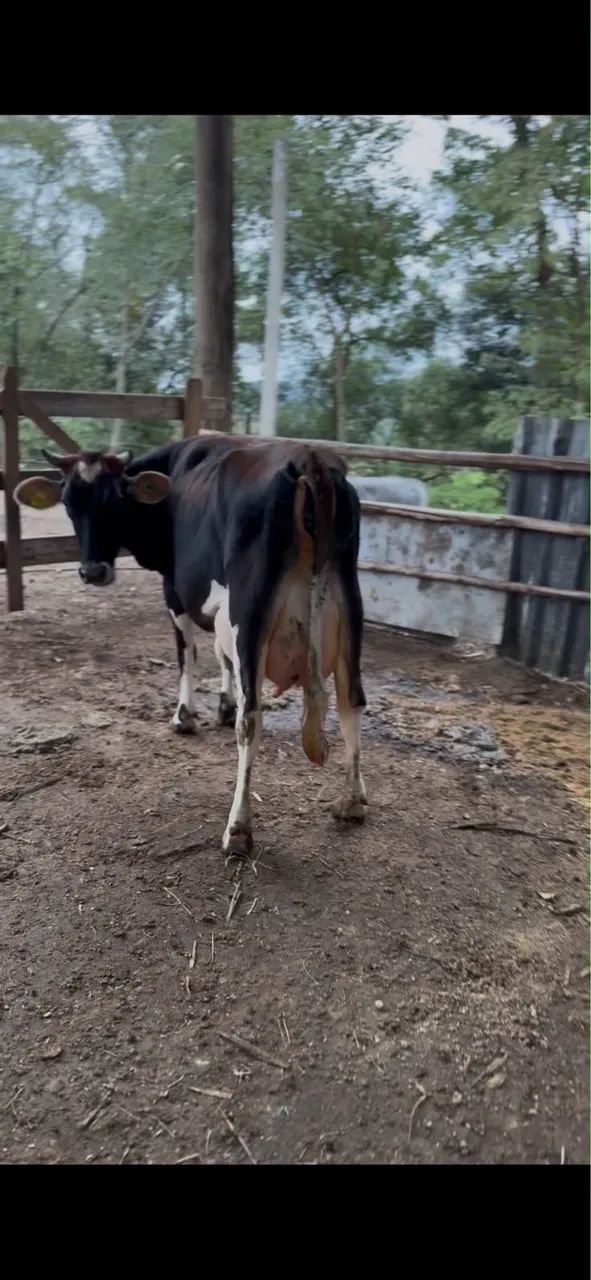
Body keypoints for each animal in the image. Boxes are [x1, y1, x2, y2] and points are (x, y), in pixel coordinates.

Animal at [15, 436, 368, 856]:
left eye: (115, 500)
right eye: (69, 502)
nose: (93, 571)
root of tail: (309, 459)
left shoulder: (176, 589)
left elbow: (188, 654)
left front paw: (184, 715)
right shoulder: (220, 610)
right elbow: (220, 654)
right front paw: (222, 704)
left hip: (251, 609)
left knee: (251, 719)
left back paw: (238, 828)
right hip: (349, 605)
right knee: (351, 701)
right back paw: (352, 800)